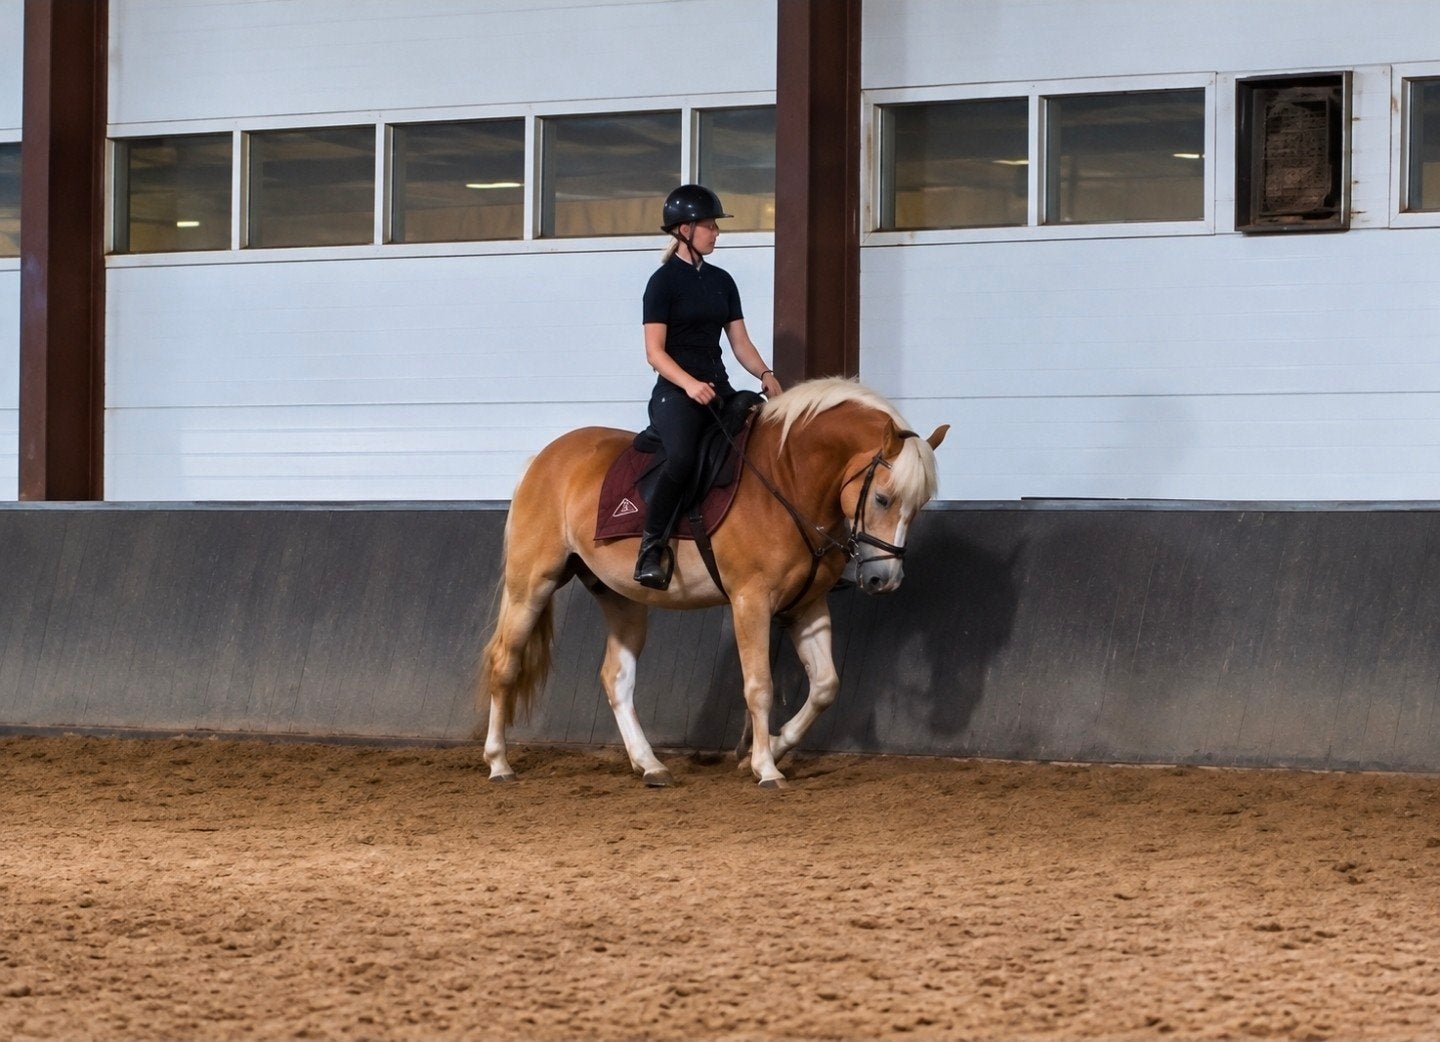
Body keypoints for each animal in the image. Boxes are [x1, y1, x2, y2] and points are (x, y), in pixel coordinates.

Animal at [477, 376, 948, 788]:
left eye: (919, 504)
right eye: (882, 498)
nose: (884, 579)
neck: (787, 480)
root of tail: (542, 459)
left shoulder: (806, 607)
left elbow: (825, 686)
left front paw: (775, 746)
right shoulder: (750, 602)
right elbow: (759, 686)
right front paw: (766, 768)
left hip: (621, 598)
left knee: (616, 677)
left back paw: (650, 765)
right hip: (532, 585)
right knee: (504, 663)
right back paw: (499, 763)